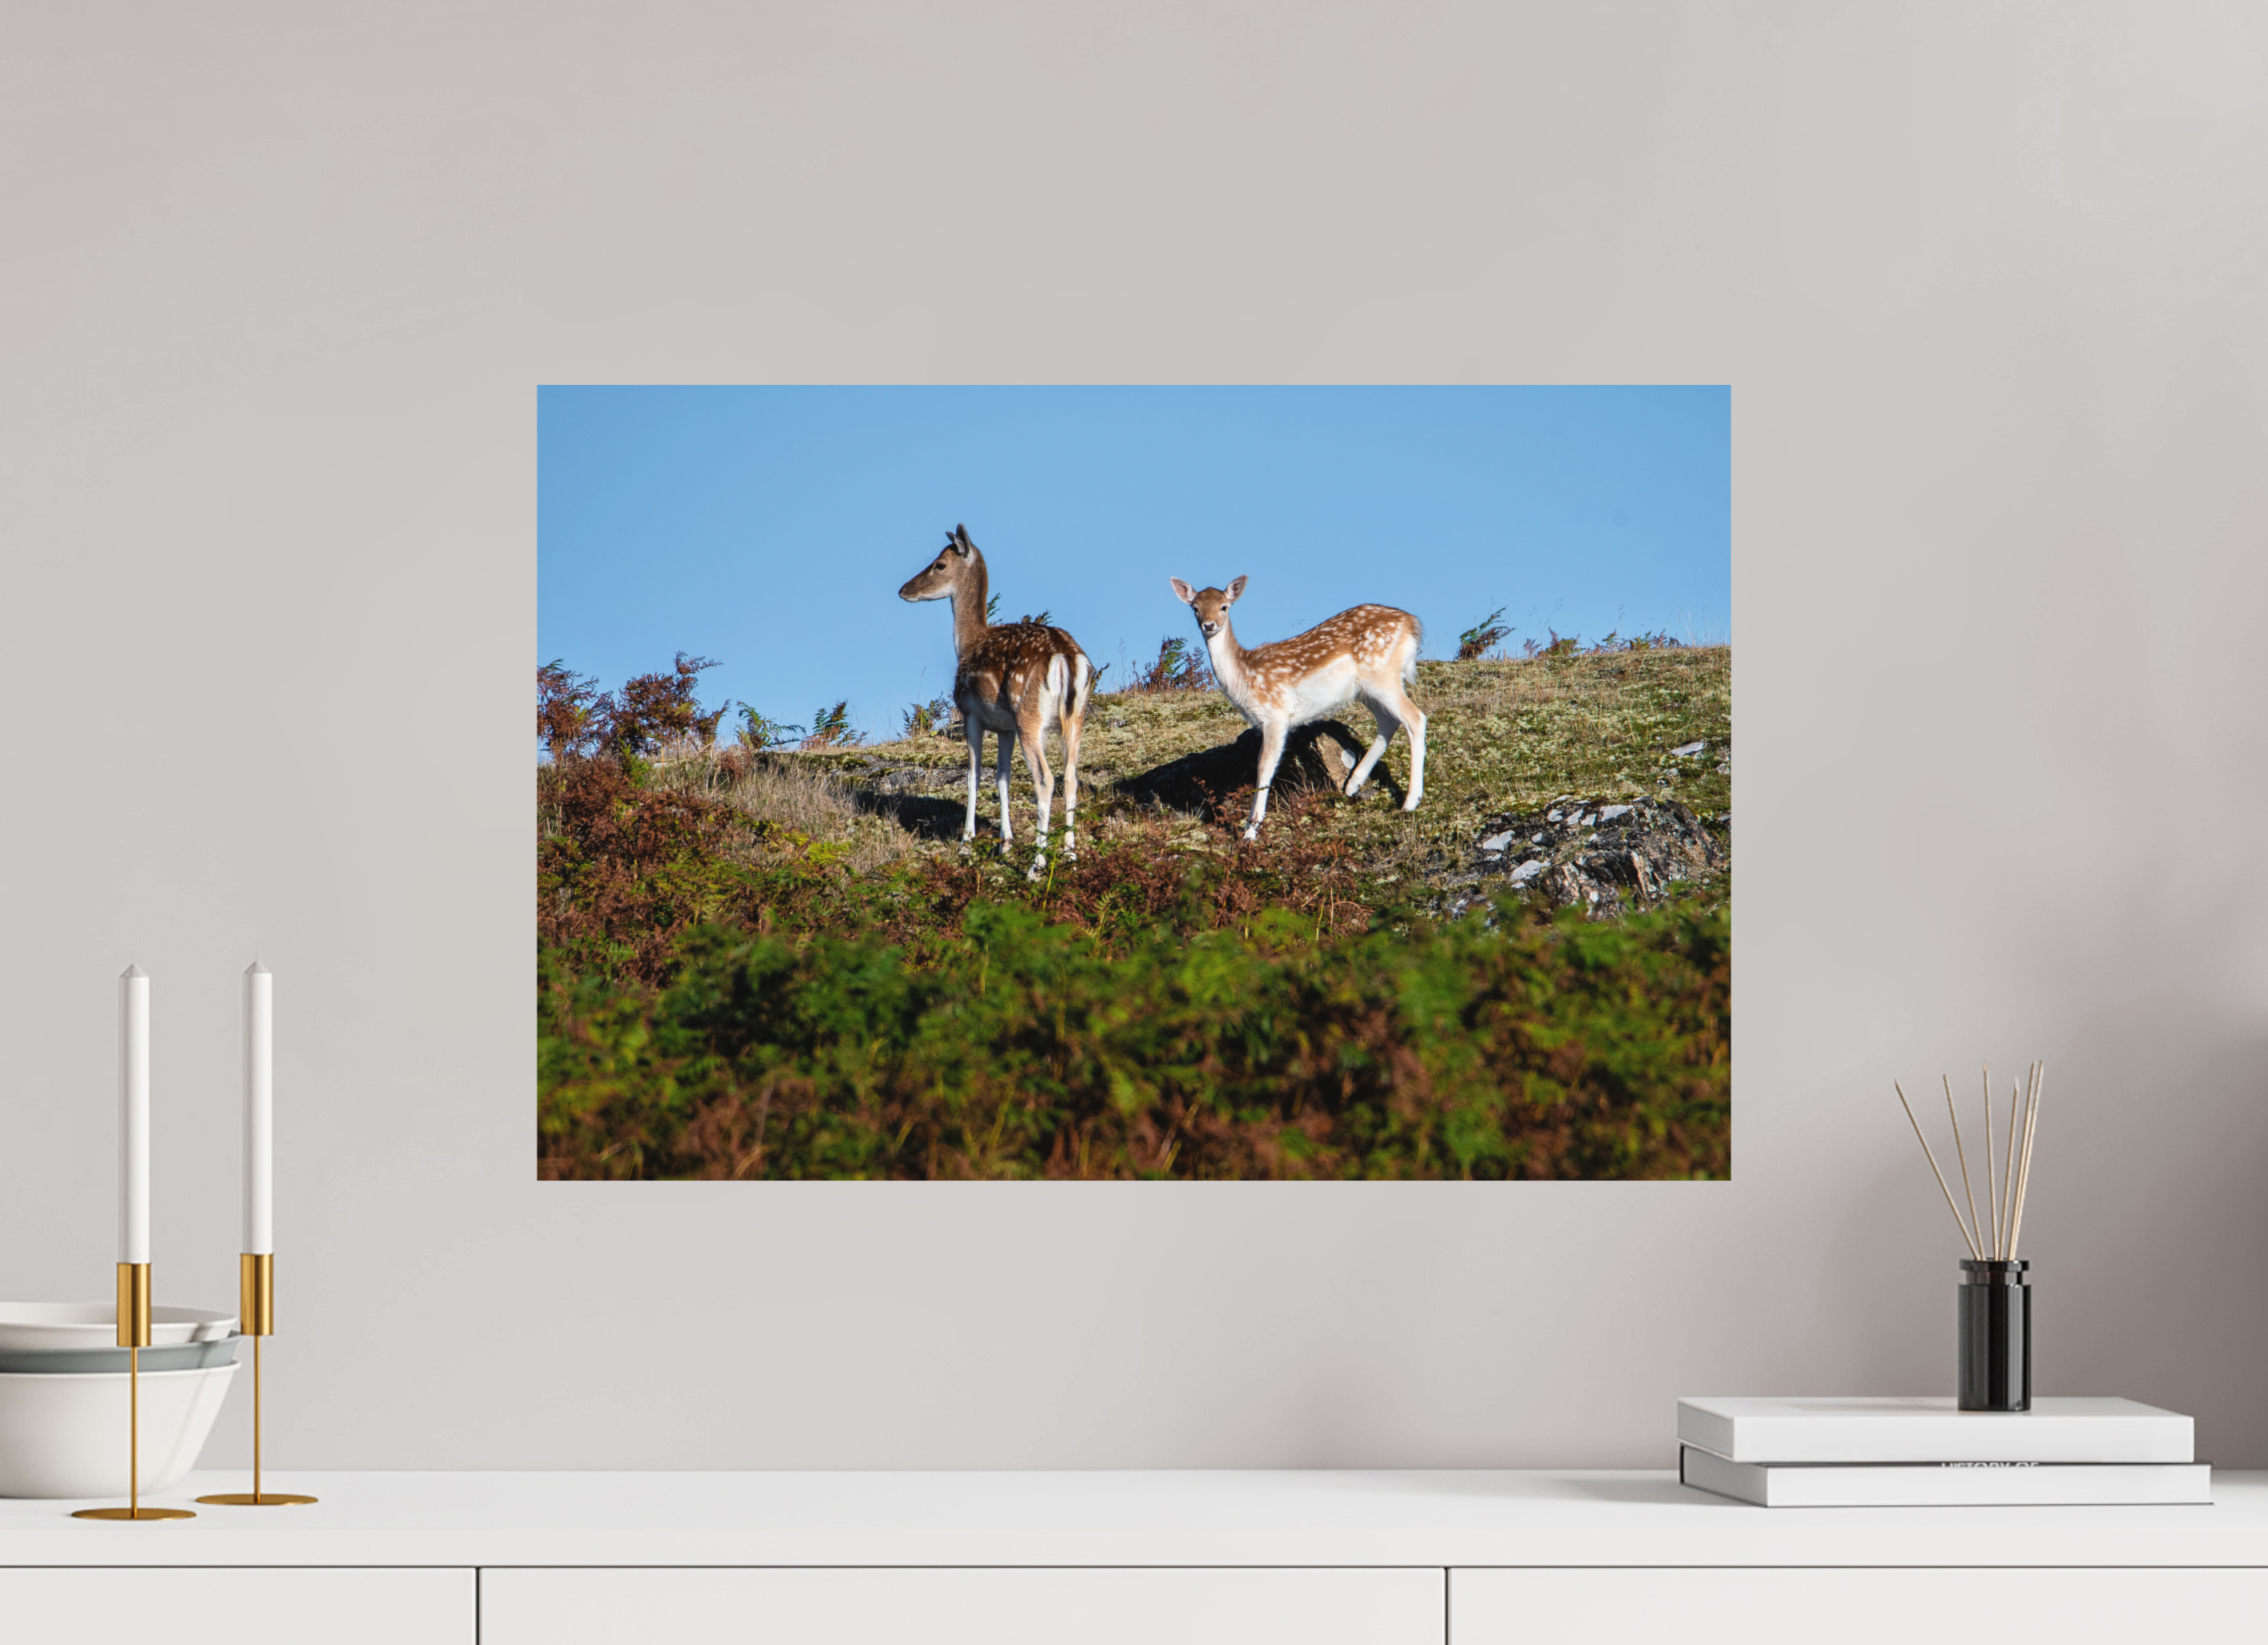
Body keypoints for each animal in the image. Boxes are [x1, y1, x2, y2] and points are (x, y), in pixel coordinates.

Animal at [899, 525, 1092, 878]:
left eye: (939, 564)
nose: (904, 589)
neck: (966, 644)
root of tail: (1066, 658)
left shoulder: (970, 713)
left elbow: (973, 774)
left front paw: (966, 844)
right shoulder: (1005, 728)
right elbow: (1003, 776)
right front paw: (1005, 844)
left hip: (1028, 714)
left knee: (1045, 779)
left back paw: (1036, 865)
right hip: (1077, 715)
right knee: (1071, 776)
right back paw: (1070, 855)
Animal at [1168, 575, 1426, 841]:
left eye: (1224, 607)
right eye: (1195, 608)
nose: (1209, 625)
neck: (1246, 680)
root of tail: (1412, 624)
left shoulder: (1276, 714)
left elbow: (1264, 766)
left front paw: (1251, 831)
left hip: (1382, 674)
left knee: (1415, 718)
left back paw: (1410, 802)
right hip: (1366, 689)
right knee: (1389, 722)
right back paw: (1353, 785)